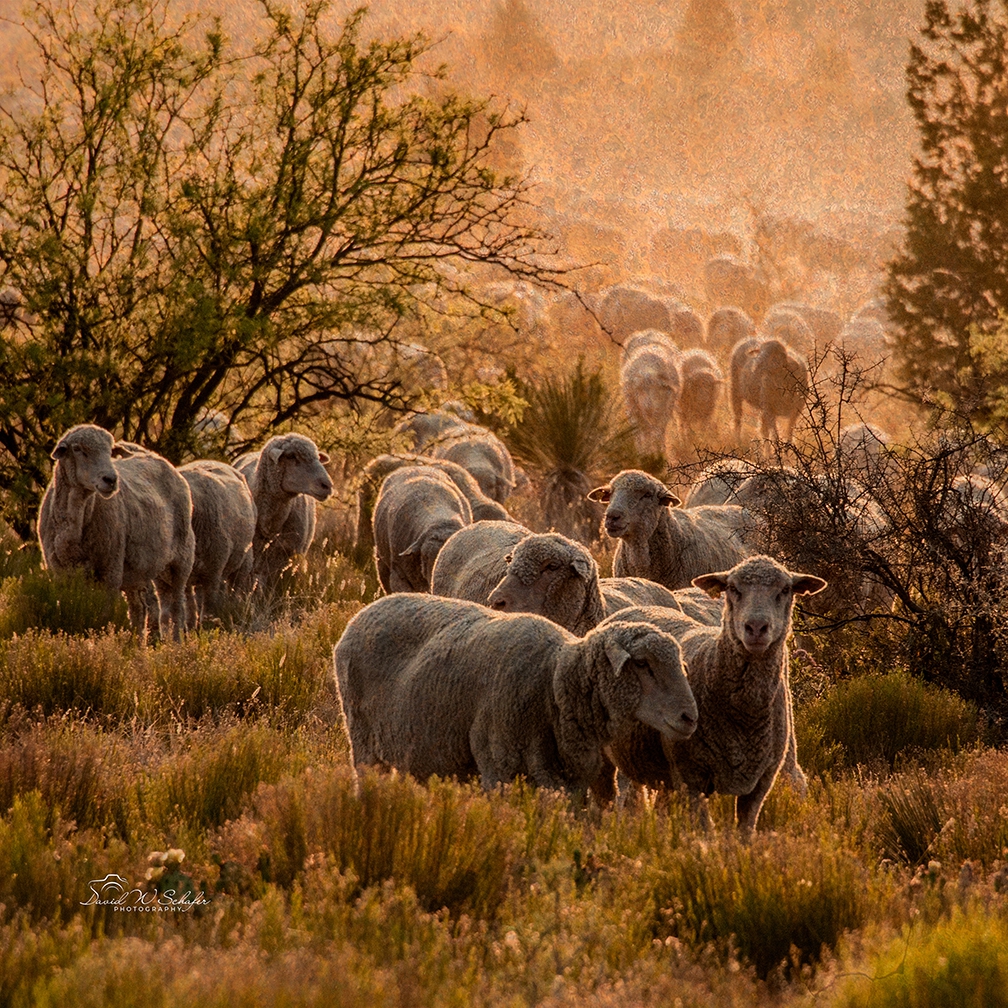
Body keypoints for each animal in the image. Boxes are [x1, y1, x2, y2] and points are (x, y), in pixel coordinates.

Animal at [38, 424, 195, 641]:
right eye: (78, 449)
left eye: (110, 451)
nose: (111, 479)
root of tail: (156, 456)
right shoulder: (59, 573)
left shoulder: (110, 571)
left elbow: (104, 616)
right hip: (144, 569)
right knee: (142, 609)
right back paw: (139, 646)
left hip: (181, 559)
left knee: (176, 608)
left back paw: (176, 644)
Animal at [177, 460, 256, 628]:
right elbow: (189, 603)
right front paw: (190, 626)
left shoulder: (214, 571)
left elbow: (209, 604)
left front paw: (207, 625)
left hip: (244, 559)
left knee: (235, 587)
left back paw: (233, 607)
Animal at [332, 594, 699, 797]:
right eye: (642, 664)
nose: (689, 717)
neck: (554, 681)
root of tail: (358, 617)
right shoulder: (498, 771)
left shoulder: (568, 781)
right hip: (363, 743)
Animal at [599, 556, 827, 835]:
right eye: (733, 588)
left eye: (785, 590)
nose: (756, 627)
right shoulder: (690, 776)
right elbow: (705, 831)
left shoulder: (761, 782)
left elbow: (745, 833)